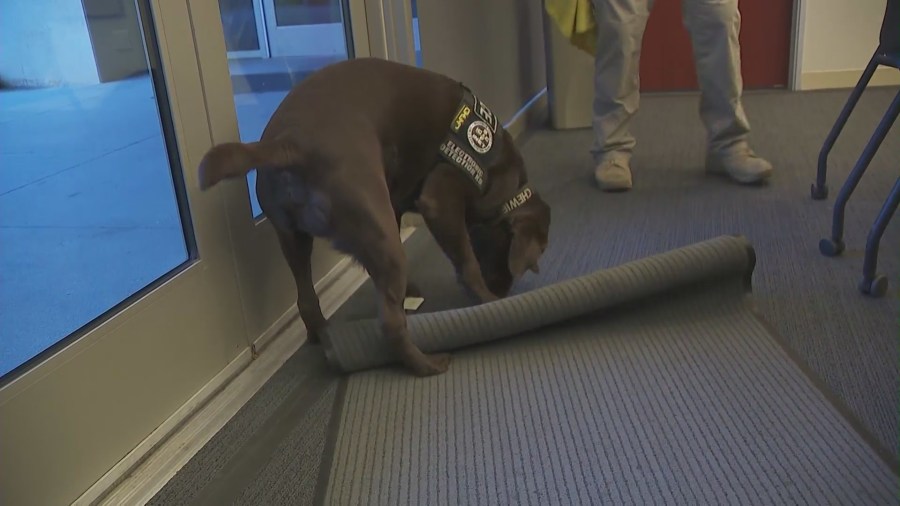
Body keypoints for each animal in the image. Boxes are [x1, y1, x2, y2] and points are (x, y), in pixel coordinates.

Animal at [197, 58, 548, 376]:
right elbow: (468, 264)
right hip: (382, 237)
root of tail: (290, 144)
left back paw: (325, 337)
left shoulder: (394, 204)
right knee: (391, 324)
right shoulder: (440, 200)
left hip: (294, 238)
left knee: (308, 300)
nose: (503, 291)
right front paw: (488, 302)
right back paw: (425, 364)